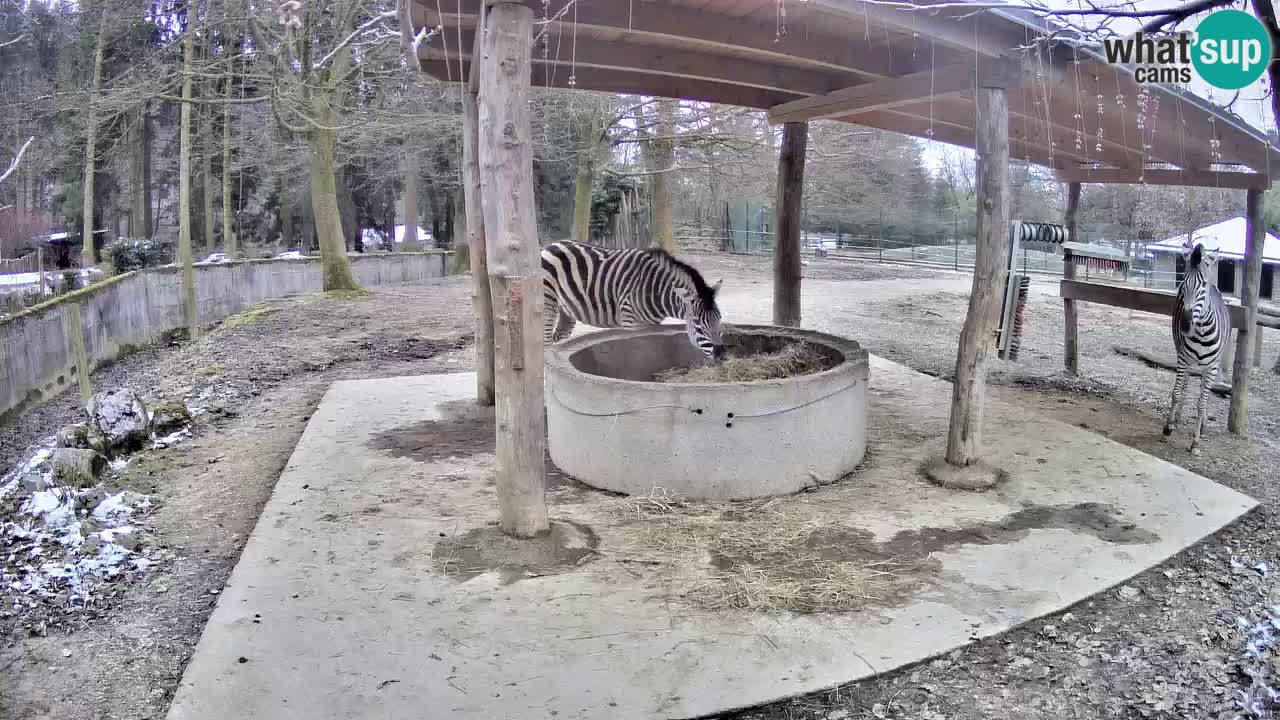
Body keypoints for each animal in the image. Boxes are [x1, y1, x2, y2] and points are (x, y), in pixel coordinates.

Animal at [537, 240, 732, 361]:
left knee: (558, 339)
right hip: (548, 303)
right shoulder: (629, 321)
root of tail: (550, 245)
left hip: (566, 310)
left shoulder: (651, 325)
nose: (722, 356)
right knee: (545, 344)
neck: (655, 289)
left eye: (719, 319)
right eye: (698, 323)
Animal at [1162, 240, 1228, 453]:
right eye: (1183, 283)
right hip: (1185, 359)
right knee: (1184, 386)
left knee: (1201, 392)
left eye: (1203, 285)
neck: (1202, 332)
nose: (1185, 324)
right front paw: (1167, 428)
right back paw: (1176, 419)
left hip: (1209, 367)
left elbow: (1201, 402)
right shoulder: (1183, 359)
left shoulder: (1212, 367)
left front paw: (1196, 441)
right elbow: (1176, 393)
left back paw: (1203, 425)